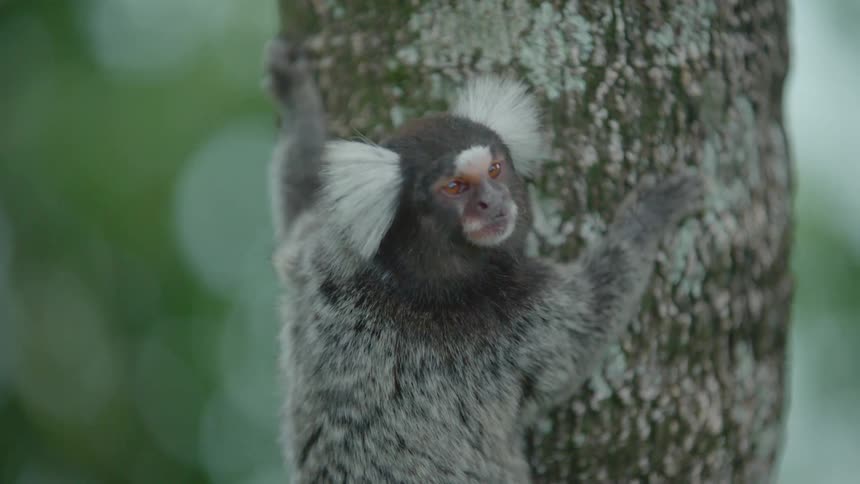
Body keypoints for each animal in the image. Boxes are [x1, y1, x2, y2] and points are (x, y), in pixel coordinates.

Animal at [264, 36, 704, 484]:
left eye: (494, 169)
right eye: (454, 187)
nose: (492, 202)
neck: (400, 276)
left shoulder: (317, 252)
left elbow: (297, 208)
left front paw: (295, 94)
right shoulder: (518, 320)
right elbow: (591, 320)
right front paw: (651, 214)